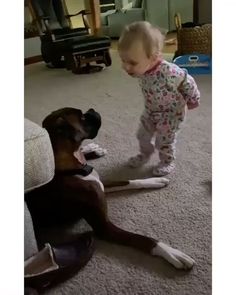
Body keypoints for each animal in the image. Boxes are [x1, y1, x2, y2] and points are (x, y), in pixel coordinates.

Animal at [25, 108, 195, 270]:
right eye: (82, 118)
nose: (92, 110)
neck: (71, 169)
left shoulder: (101, 184)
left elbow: (128, 181)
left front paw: (153, 181)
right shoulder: (104, 228)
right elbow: (142, 239)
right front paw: (171, 253)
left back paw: (92, 150)